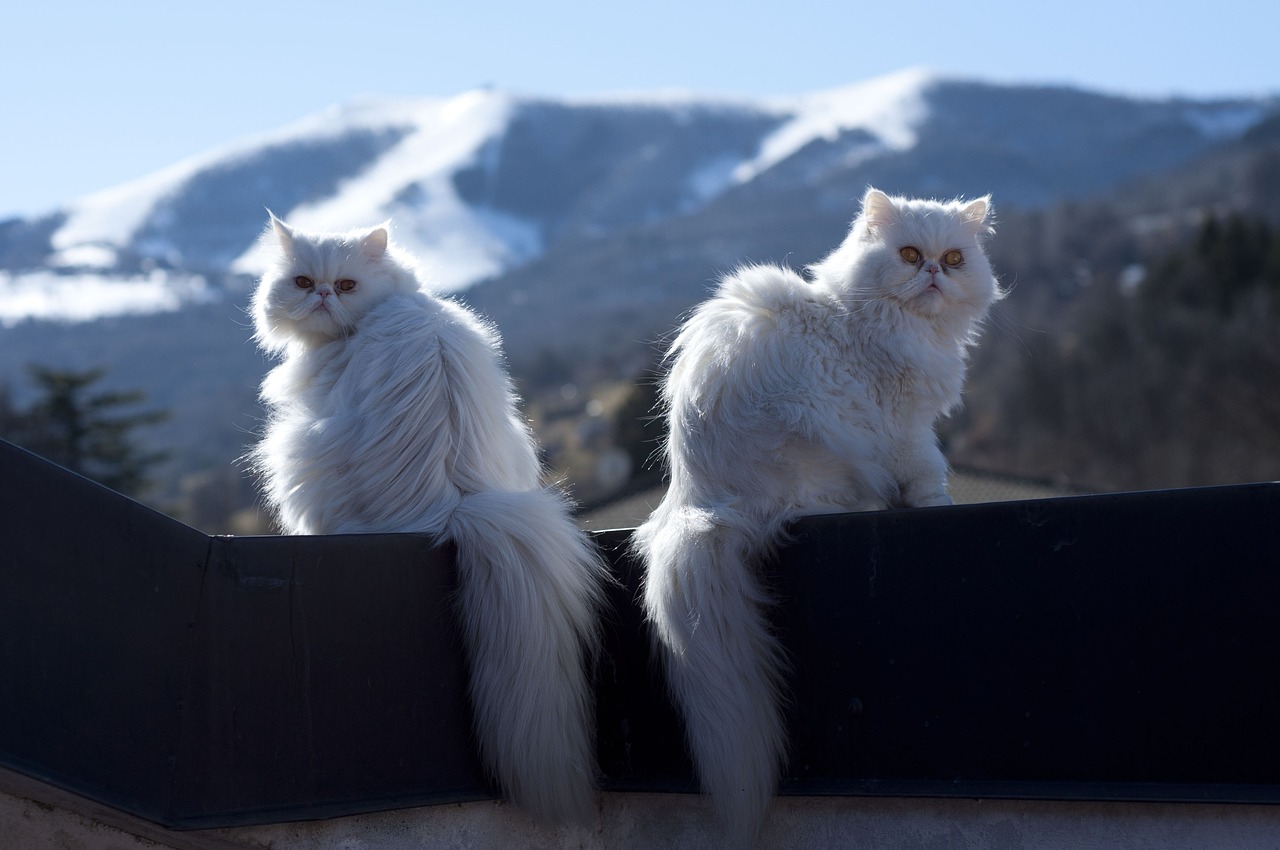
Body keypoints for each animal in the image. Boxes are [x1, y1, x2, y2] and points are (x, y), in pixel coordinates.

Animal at [634, 188, 1003, 834]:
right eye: (910, 255)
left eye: (955, 259)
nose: (934, 272)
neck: (900, 325)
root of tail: (699, 504)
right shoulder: (904, 428)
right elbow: (925, 473)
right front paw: (935, 501)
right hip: (817, 438)